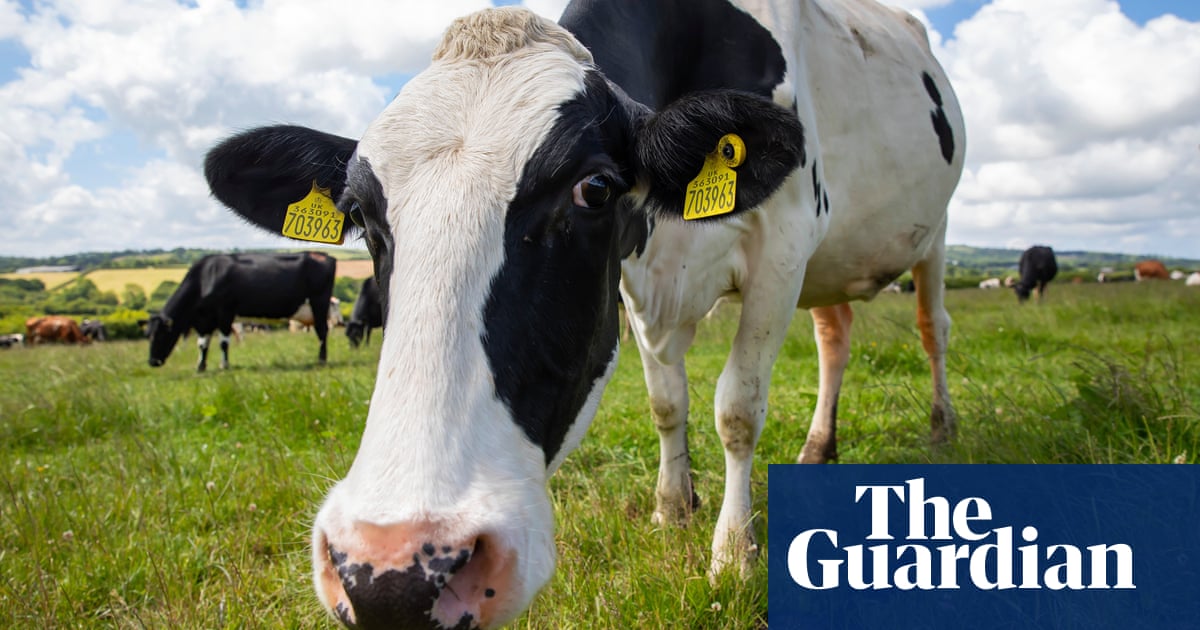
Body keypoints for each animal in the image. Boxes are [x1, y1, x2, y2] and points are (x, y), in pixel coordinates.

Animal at [146, 252, 337, 371]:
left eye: (161, 335)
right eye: (148, 335)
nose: (152, 362)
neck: (205, 278)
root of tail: (324, 256)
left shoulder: (225, 312)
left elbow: (223, 342)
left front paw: (224, 365)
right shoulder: (205, 319)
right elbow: (202, 344)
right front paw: (200, 367)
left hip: (319, 303)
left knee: (322, 331)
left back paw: (321, 360)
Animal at [203, 3, 964, 627]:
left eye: (594, 188)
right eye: (359, 214)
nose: (390, 572)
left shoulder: (784, 241)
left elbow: (736, 408)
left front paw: (732, 555)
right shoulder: (638, 277)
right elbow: (667, 401)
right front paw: (672, 510)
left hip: (932, 234)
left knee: (932, 330)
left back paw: (941, 426)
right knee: (834, 337)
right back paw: (816, 448)